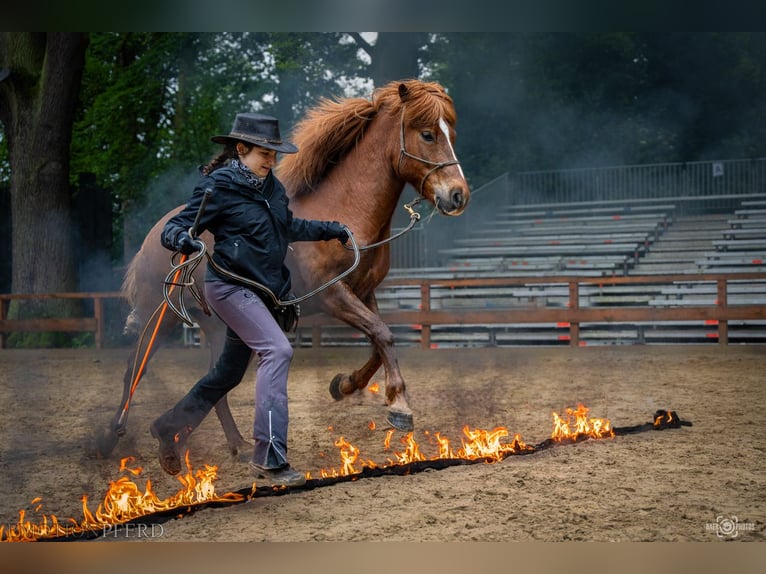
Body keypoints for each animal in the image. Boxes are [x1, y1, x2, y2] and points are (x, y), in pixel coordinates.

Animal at [99, 80, 472, 460]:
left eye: (453, 133)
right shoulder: (333, 295)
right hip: (160, 317)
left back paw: (234, 444)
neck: (347, 213)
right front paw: (399, 407)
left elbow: (377, 344)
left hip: (219, 327)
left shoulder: (364, 292)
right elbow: (383, 335)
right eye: (427, 134)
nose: (458, 195)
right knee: (134, 368)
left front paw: (343, 384)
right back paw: (109, 439)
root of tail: (155, 236)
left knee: (216, 380)